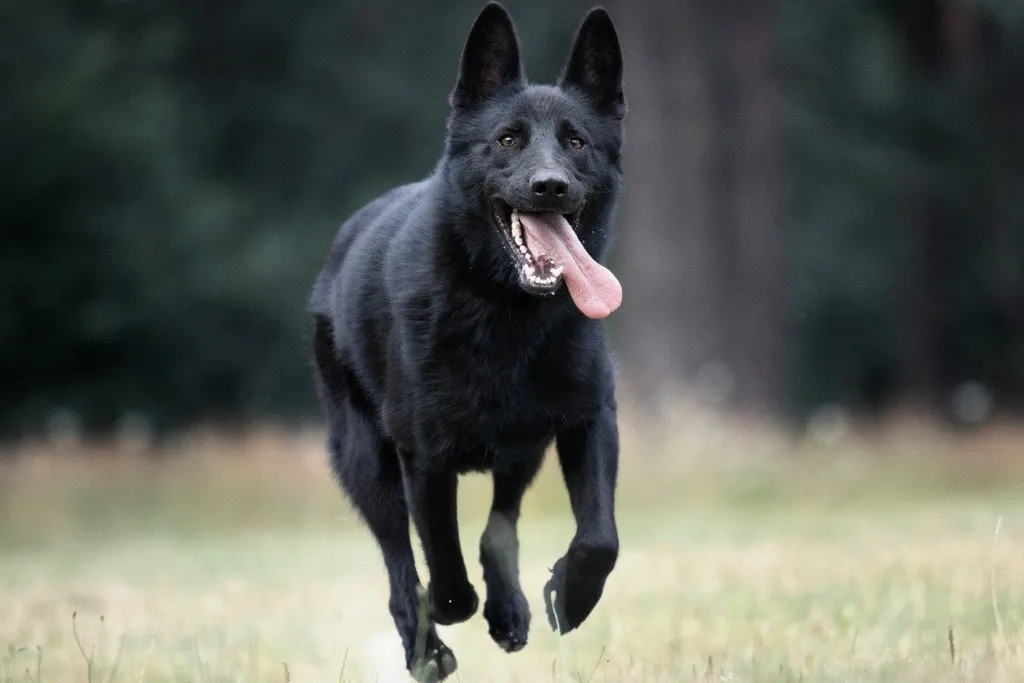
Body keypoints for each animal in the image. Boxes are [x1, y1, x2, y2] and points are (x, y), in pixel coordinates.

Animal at [305, 3, 622, 679]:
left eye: (576, 141)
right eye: (507, 139)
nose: (550, 186)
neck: (506, 310)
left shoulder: (588, 420)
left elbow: (598, 539)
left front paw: (569, 596)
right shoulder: (423, 459)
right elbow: (442, 564)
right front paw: (455, 609)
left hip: (522, 450)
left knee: (499, 524)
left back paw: (508, 607)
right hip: (366, 463)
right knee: (401, 569)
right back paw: (427, 648)